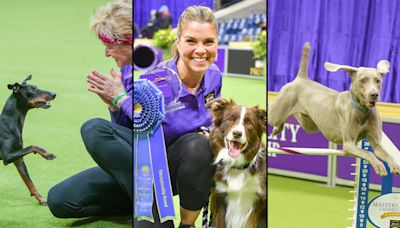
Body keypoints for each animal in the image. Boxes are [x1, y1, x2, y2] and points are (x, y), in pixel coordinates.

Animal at [0, 75, 56, 205]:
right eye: (32, 90)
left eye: (37, 87)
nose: (54, 94)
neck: (10, 122)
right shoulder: (7, 157)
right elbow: (33, 146)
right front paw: (46, 153)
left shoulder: (18, 160)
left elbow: (29, 182)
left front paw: (41, 199)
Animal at [268, 41, 400, 175]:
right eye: (363, 80)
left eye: (377, 80)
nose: (374, 94)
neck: (362, 110)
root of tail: (301, 79)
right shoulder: (348, 145)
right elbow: (368, 152)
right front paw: (379, 165)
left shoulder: (376, 143)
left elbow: (384, 154)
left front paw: (394, 165)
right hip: (276, 114)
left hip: (310, 125)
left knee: (296, 116)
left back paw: (279, 128)